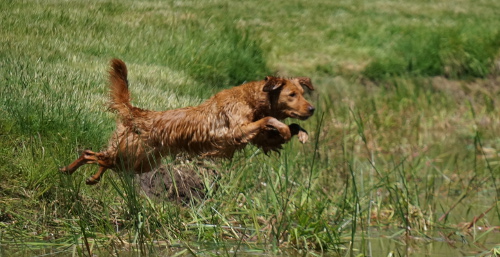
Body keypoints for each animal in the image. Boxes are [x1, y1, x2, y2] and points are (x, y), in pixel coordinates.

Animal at [60, 58, 314, 184]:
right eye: (292, 94)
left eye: (303, 93)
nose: (312, 109)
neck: (252, 100)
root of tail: (138, 113)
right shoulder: (235, 132)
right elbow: (271, 119)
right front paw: (285, 128)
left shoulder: (260, 138)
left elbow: (281, 128)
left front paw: (300, 132)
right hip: (133, 154)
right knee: (92, 155)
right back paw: (69, 170)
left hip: (138, 161)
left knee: (102, 158)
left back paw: (89, 176)